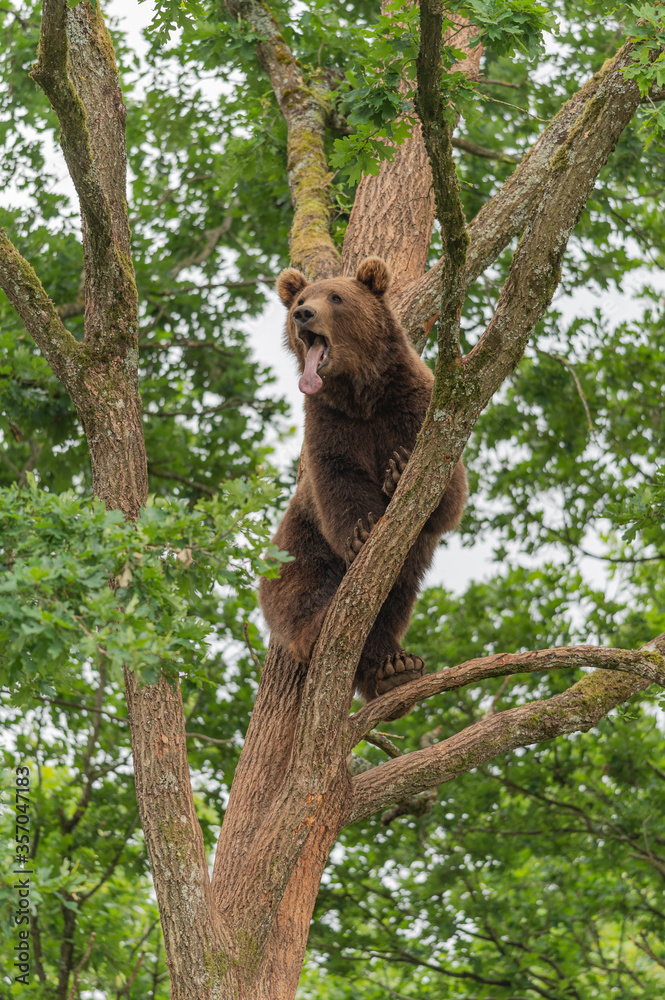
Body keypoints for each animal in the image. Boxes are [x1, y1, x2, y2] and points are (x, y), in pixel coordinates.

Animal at [256, 254, 464, 700]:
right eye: (300, 298)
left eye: (335, 297)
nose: (302, 314)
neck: (361, 395)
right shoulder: (329, 424)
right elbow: (338, 481)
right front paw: (362, 531)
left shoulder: (416, 405)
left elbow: (447, 487)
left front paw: (399, 469)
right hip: (295, 545)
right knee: (302, 589)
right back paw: (318, 632)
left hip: (407, 570)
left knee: (393, 603)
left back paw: (393, 667)